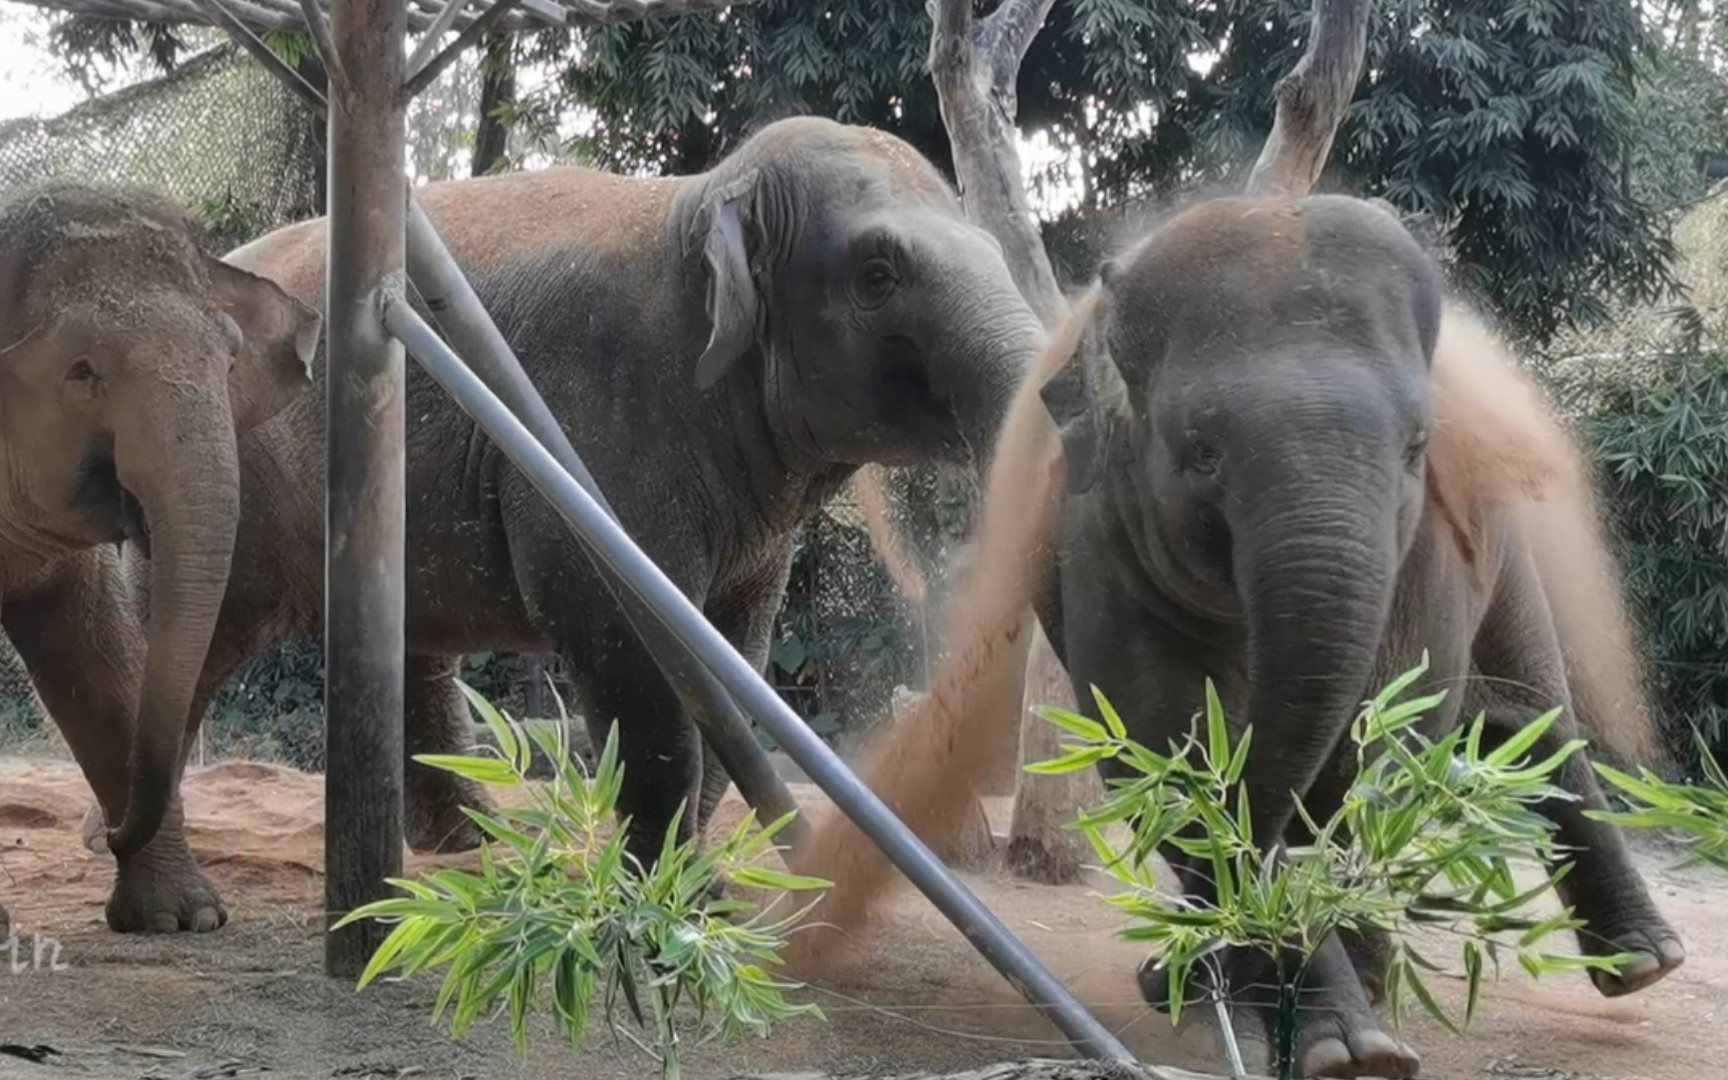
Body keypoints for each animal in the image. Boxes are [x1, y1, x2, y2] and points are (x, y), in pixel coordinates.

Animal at [111, 114, 1036, 919]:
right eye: (879, 275)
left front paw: (701, 896)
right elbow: (631, 643)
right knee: (190, 643)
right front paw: (665, 903)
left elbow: (734, 652)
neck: (695, 202)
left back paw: (466, 844)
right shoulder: (598, 423)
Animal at [1016, 196, 1679, 1078]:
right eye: (1200, 453)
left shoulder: (1428, 551)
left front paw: (1351, 1041)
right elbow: (1169, 746)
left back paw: (1639, 964)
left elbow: (1384, 736)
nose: (1165, 972)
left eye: (1416, 447)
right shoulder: (1098, 547)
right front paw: (1343, 1043)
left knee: (1539, 724)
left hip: (1507, 564)